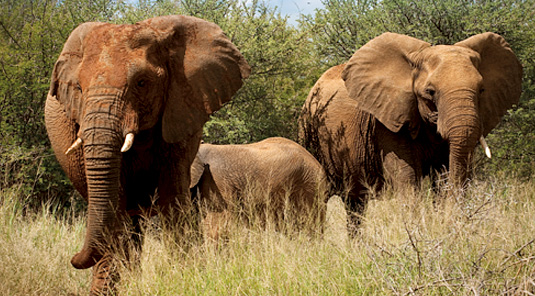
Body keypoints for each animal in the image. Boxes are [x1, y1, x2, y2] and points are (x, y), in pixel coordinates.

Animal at [43, 15, 249, 294]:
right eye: (79, 88)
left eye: (142, 83)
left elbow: (174, 199)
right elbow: (116, 206)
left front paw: (185, 279)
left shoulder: (181, 108)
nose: (73, 259)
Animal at [302, 32, 524, 235]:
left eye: (482, 90)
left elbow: (443, 176)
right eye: (430, 92)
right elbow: (407, 178)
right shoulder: (387, 121)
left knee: (355, 204)